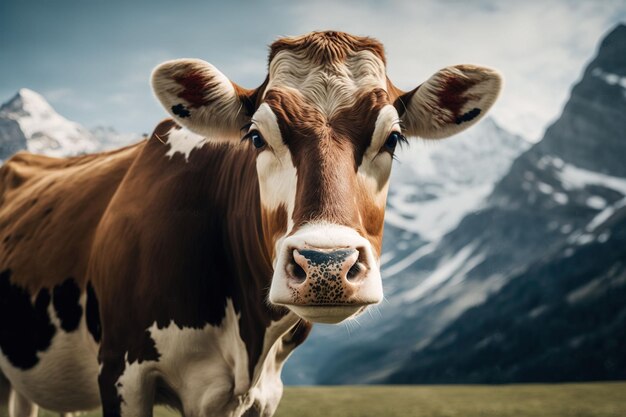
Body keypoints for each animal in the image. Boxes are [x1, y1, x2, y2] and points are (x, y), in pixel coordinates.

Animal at [0, 30, 500, 414]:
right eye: (256, 137)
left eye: (393, 138)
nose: (327, 266)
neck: (246, 339)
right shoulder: (123, 370)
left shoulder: (265, 392)